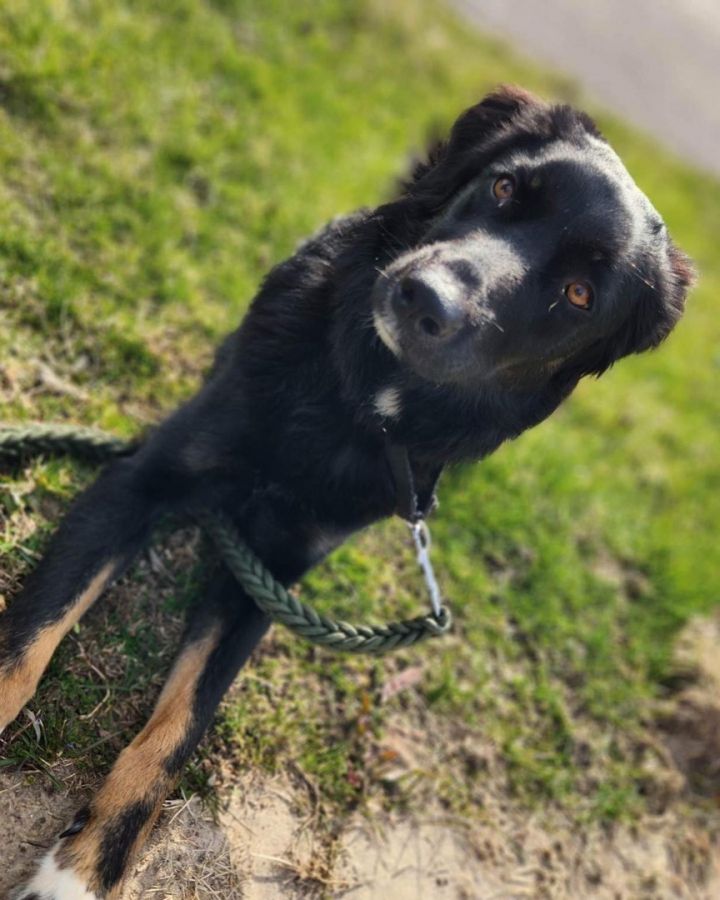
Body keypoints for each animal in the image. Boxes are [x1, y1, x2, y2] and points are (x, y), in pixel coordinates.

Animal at [2, 86, 696, 900]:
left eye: (579, 294)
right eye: (503, 189)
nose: (426, 298)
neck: (363, 396)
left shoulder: (269, 577)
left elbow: (179, 729)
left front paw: (82, 872)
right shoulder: (139, 480)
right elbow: (25, 647)